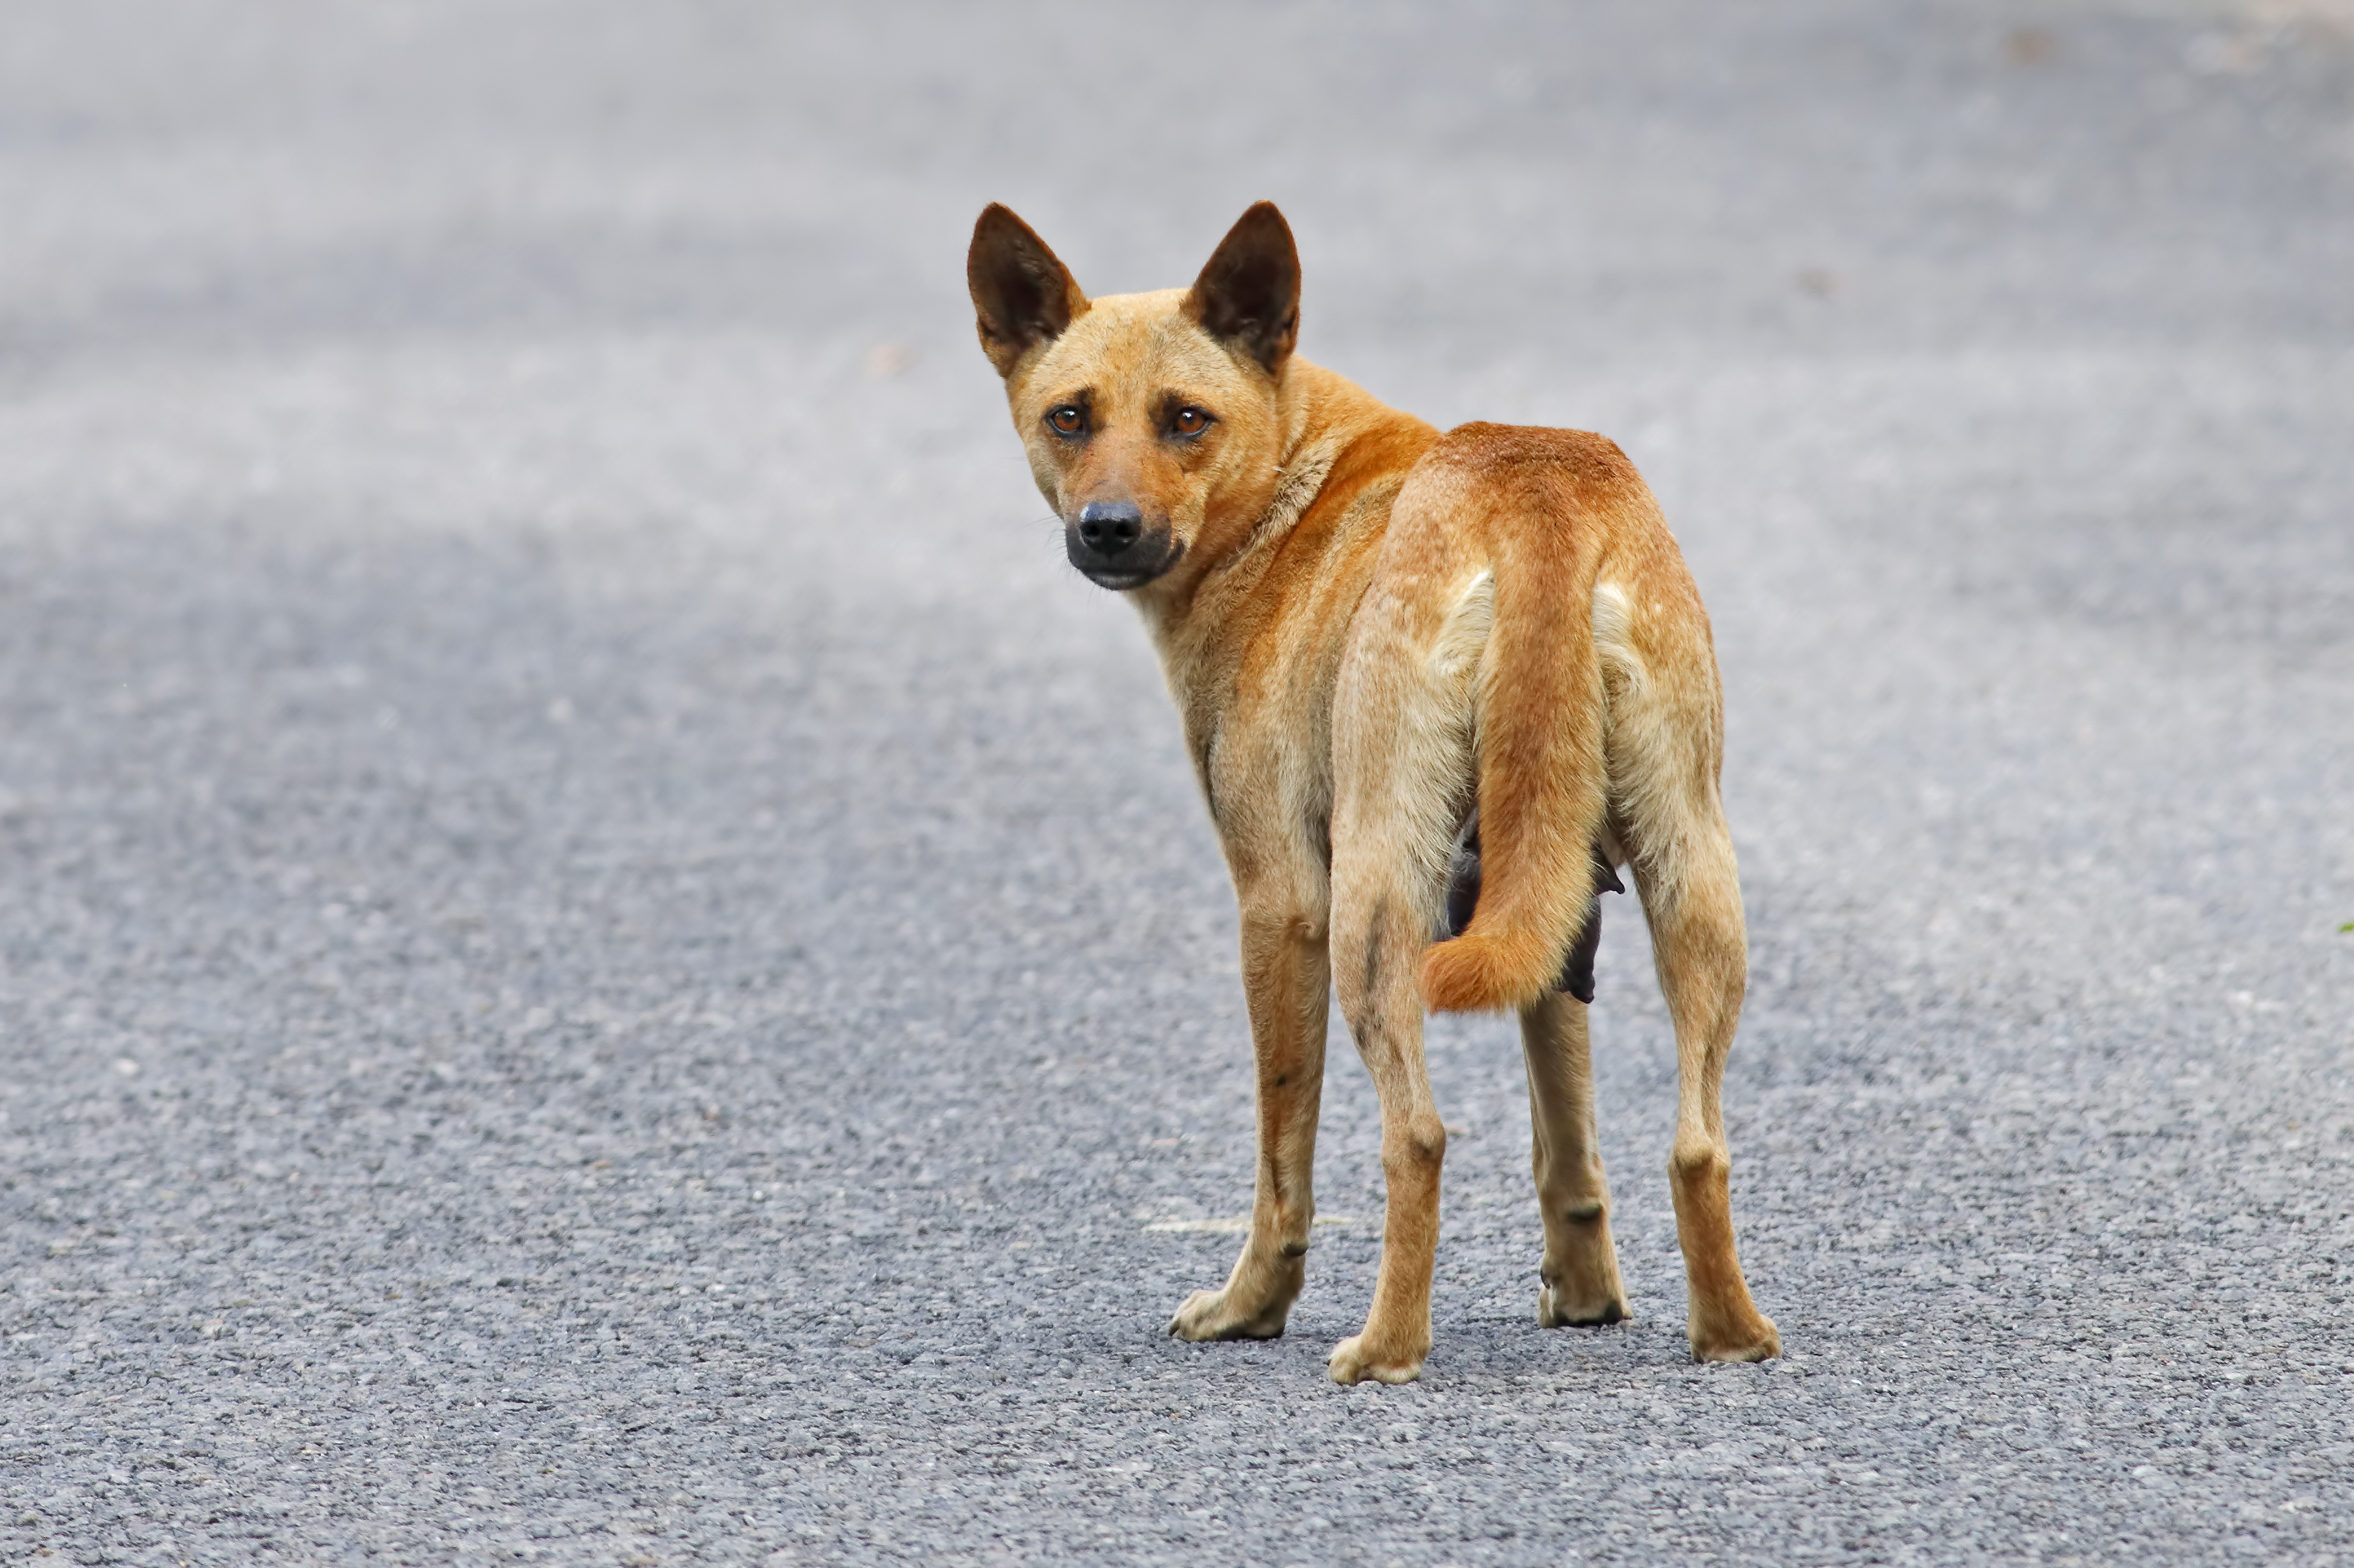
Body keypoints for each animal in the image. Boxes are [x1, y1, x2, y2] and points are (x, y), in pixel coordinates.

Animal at [965, 199, 1770, 1384]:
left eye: (1184, 419)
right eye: (1070, 417)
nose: (1107, 527)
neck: (1291, 485)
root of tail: (1533, 490)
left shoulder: (1280, 906)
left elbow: (1281, 1160)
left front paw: (1248, 1307)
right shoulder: (1550, 907)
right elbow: (1566, 1137)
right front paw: (1584, 1295)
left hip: (1372, 911)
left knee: (1416, 1139)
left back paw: (1384, 1347)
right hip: (1690, 880)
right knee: (1696, 1144)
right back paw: (1730, 1334)